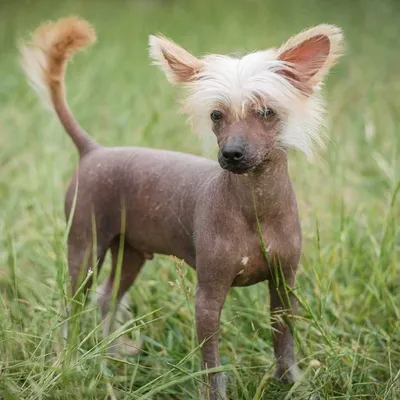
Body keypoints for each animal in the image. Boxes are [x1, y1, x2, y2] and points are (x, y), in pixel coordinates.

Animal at [19, 17, 344, 398]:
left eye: (266, 112)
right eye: (216, 115)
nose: (231, 154)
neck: (255, 208)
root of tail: (93, 150)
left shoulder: (284, 284)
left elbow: (284, 339)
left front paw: (290, 382)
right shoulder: (208, 296)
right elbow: (211, 362)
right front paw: (216, 393)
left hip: (130, 253)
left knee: (107, 297)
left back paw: (112, 353)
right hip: (85, 247)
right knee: (72, 306)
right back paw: (69, 361)